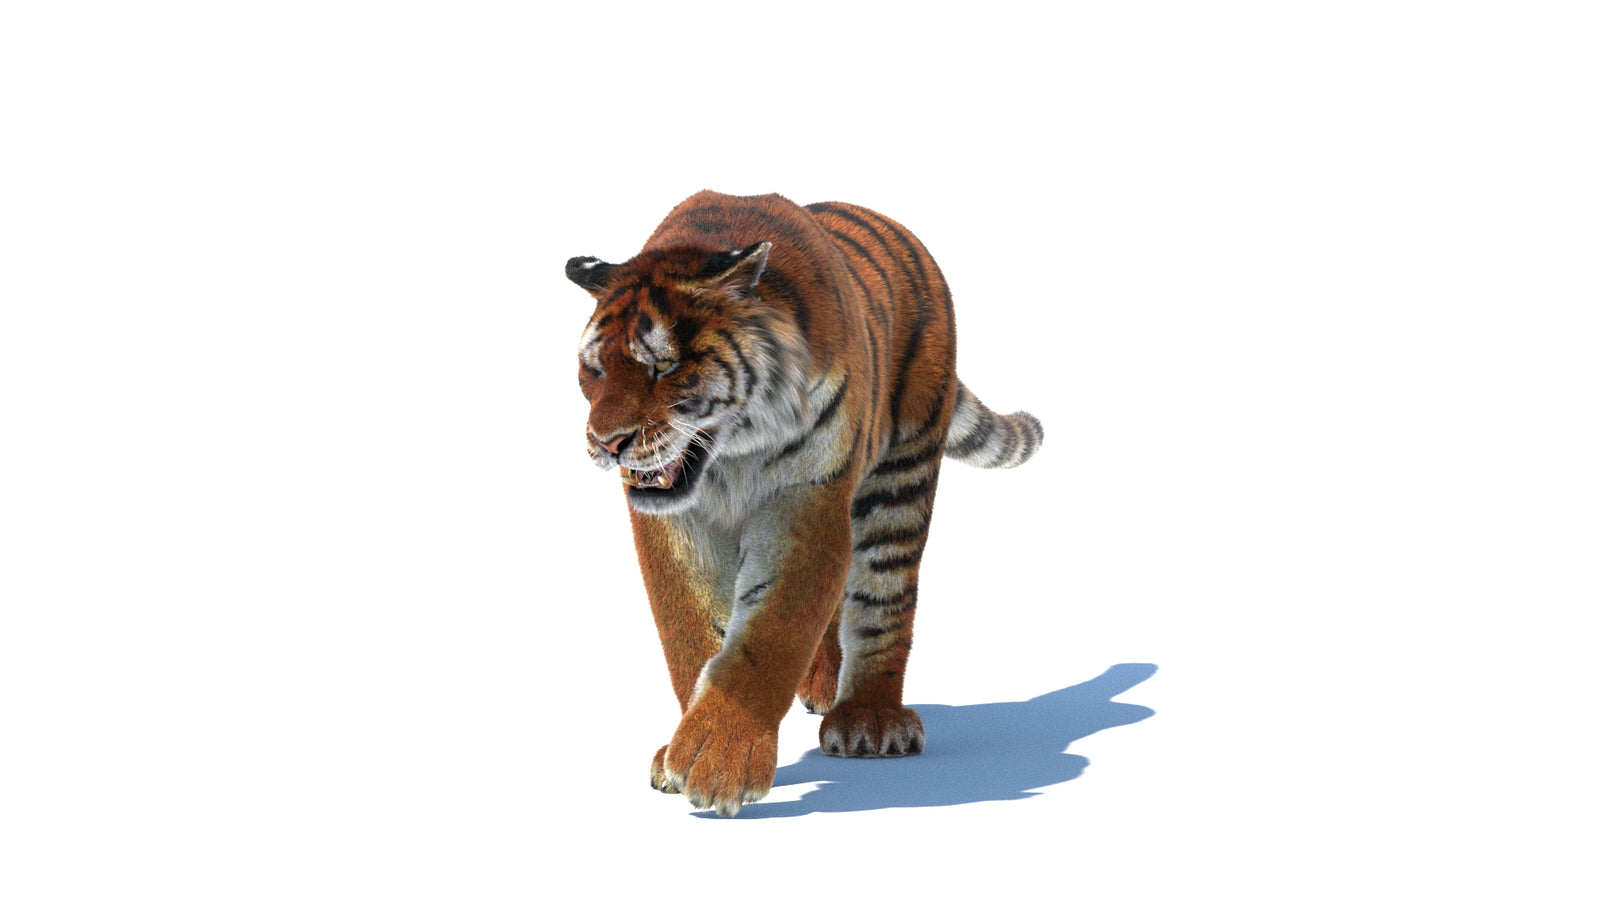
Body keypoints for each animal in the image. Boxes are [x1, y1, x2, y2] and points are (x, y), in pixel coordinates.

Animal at [567, 190, 1043, 816]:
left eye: (663, 366)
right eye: (594, 369)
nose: (606, 443)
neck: (730, 456)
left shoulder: (806, 499)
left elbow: (773, 630)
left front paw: (719, 761)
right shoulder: (677, 524)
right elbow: (689, 629)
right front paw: (681, 751)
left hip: (901, 477)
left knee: (883, 602)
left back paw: (869, 719)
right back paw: (822, 688)